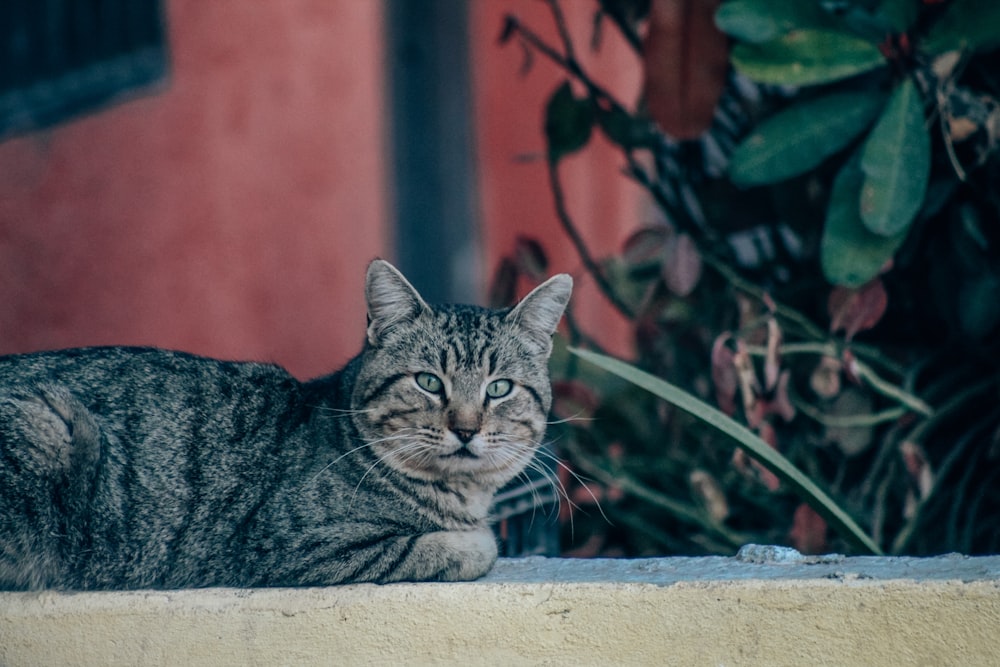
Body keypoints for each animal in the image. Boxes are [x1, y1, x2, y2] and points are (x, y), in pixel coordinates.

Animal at [0, 260, 572, 588]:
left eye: (498, 388)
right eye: (429, 382)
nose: (467, 428)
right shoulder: (292, 546)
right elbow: (459, 547)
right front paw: (472, 539)